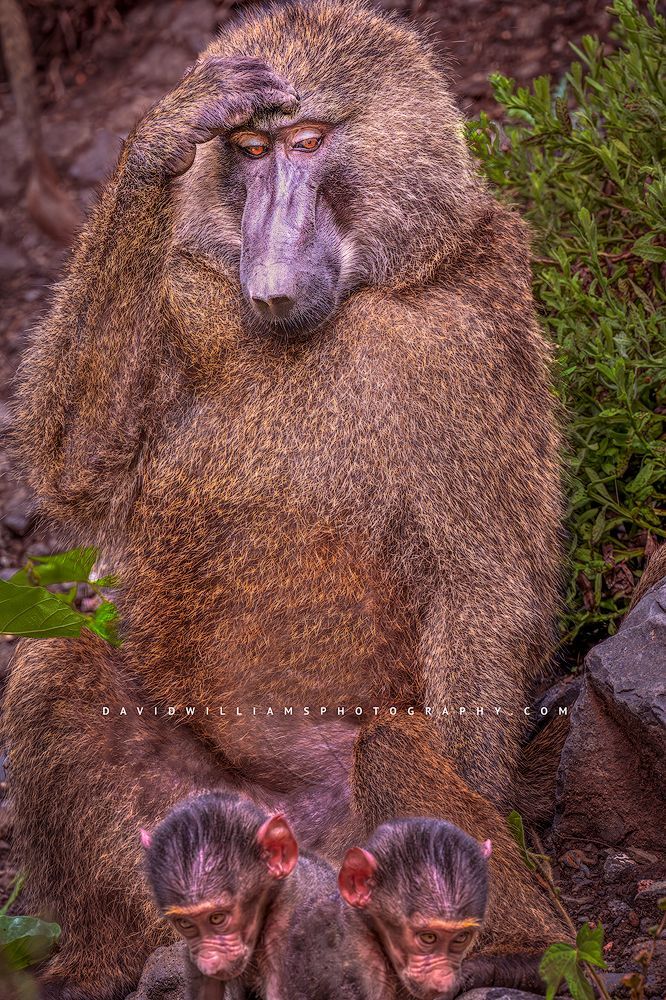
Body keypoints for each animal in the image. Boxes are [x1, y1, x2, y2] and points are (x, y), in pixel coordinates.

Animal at [3, 1, 567, 997]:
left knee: (392, 748)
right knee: (54, 663)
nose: (268, 275)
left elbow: (487, 587)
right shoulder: (184, 286)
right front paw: (163, 135)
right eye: (250, 150)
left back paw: (502, 947)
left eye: (308, 142)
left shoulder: (471, 329)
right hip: (217, 831)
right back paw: (122, 960)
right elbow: (78, 464)